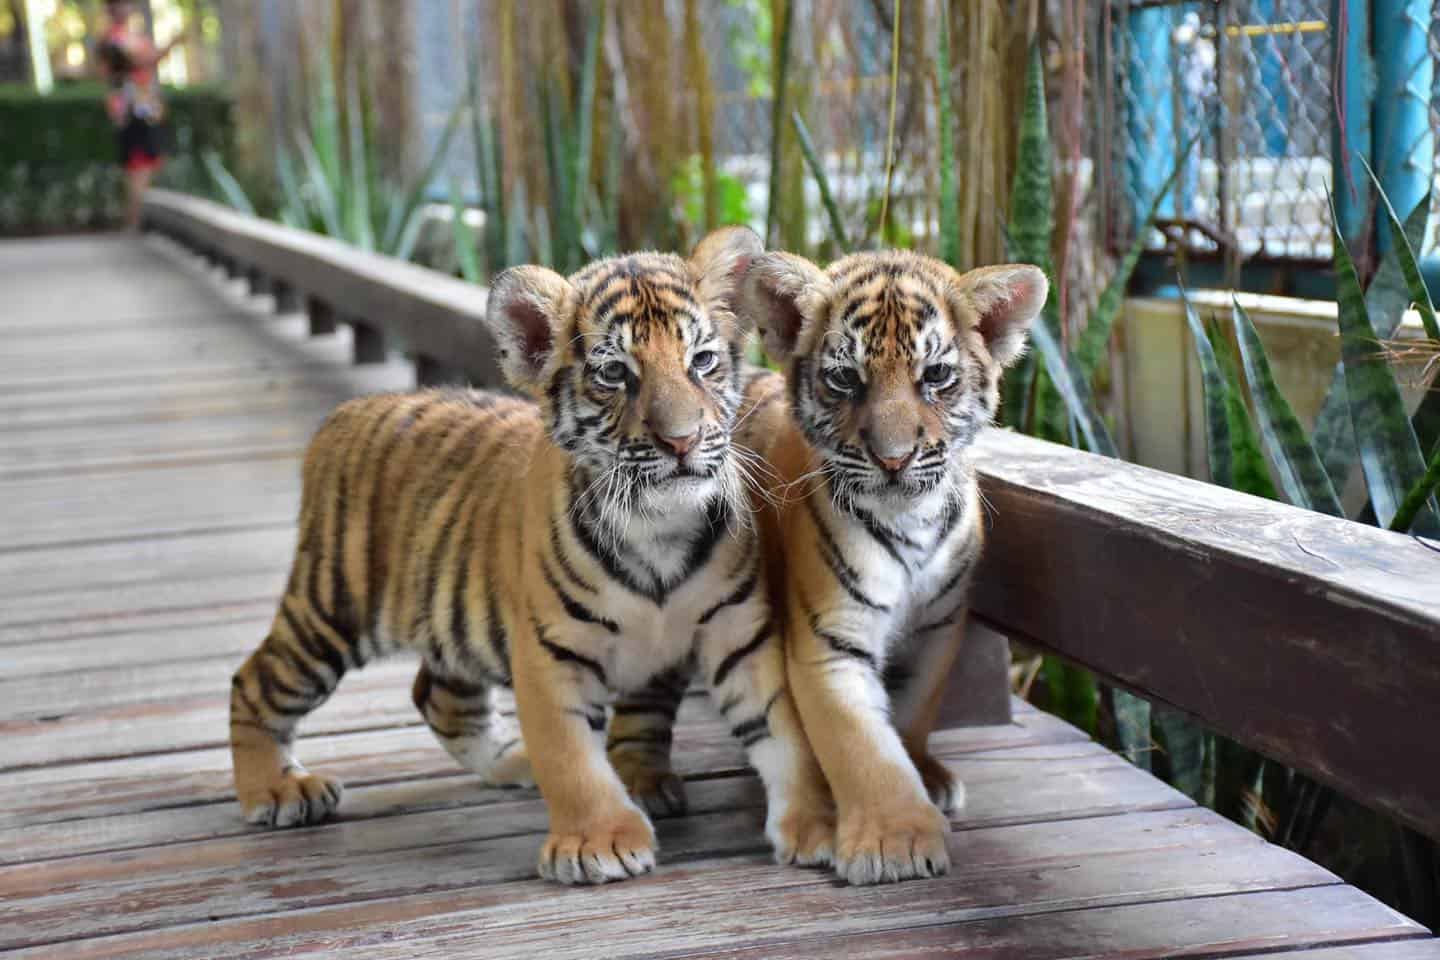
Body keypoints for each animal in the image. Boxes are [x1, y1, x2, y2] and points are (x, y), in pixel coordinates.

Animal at [227, 227, 836, 885]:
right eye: (614, 373)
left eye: (701, 361)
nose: (682, 441)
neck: (660, 529)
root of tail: (344, 414)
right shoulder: (552, 649)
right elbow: (570, 755)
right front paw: (600, 842)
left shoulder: (738, 632)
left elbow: (785, 731)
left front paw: (820, 826)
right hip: (331, 611)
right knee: (254, 680)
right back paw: (277, 790)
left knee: (438, 695)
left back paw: (509, 763)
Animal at [730, 249, 1047, 885]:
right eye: (846, 379)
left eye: (936, 376)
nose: (894, 459)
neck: (911, 520)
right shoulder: (829, 639)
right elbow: (861, 747)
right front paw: (894, 841)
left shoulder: (938, 627)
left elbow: (914, 713)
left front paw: (925, 776)